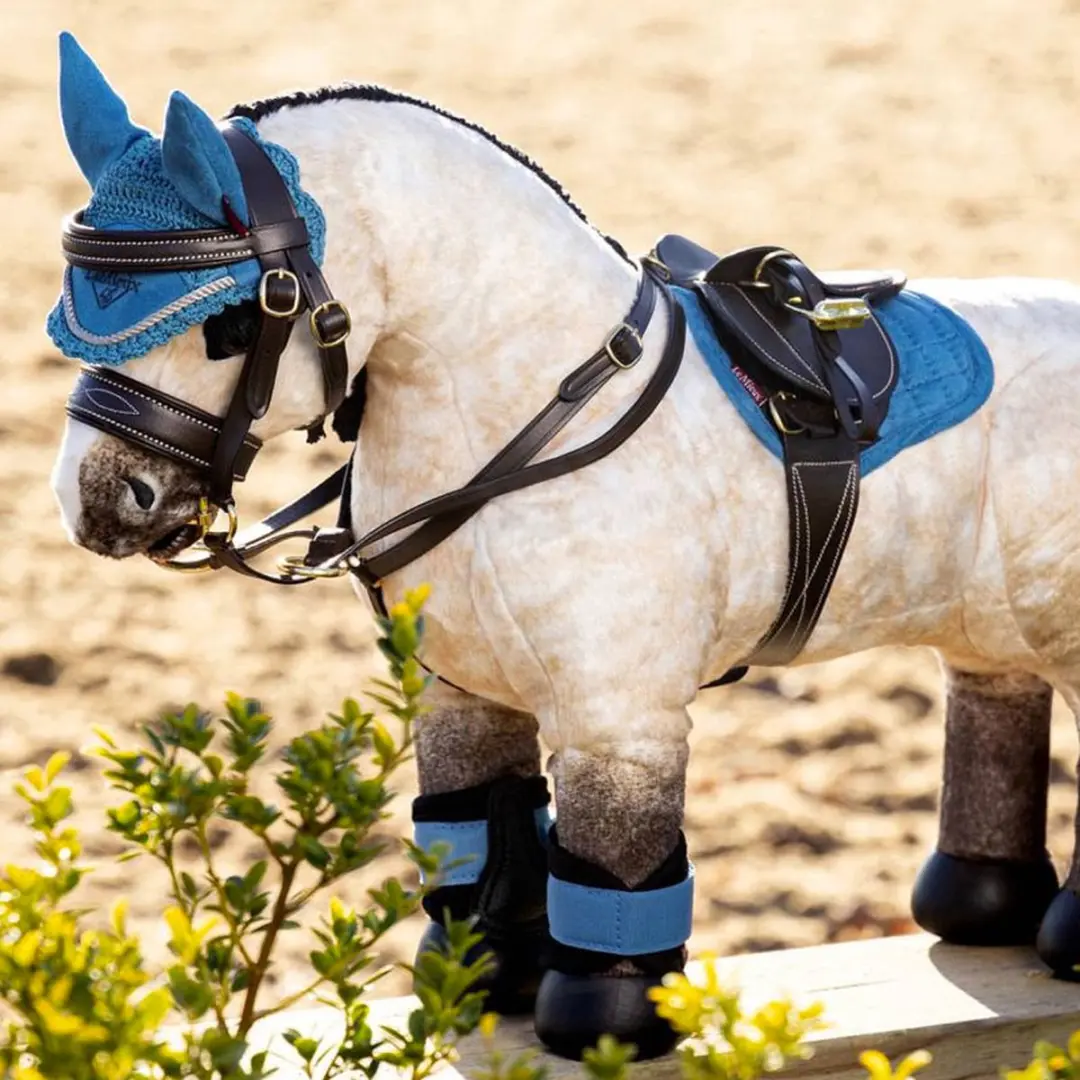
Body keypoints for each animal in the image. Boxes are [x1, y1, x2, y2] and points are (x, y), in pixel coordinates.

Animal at [47, 31, 1080, 1061]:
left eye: (227, 323)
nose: (93, 503)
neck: (529, 411)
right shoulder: (459, 694)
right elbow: (483, 837)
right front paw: (480, 982)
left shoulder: (620, 719)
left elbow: (612, 865)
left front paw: (604, 1024)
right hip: (992, 625)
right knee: (995, 696)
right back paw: (980, 906)